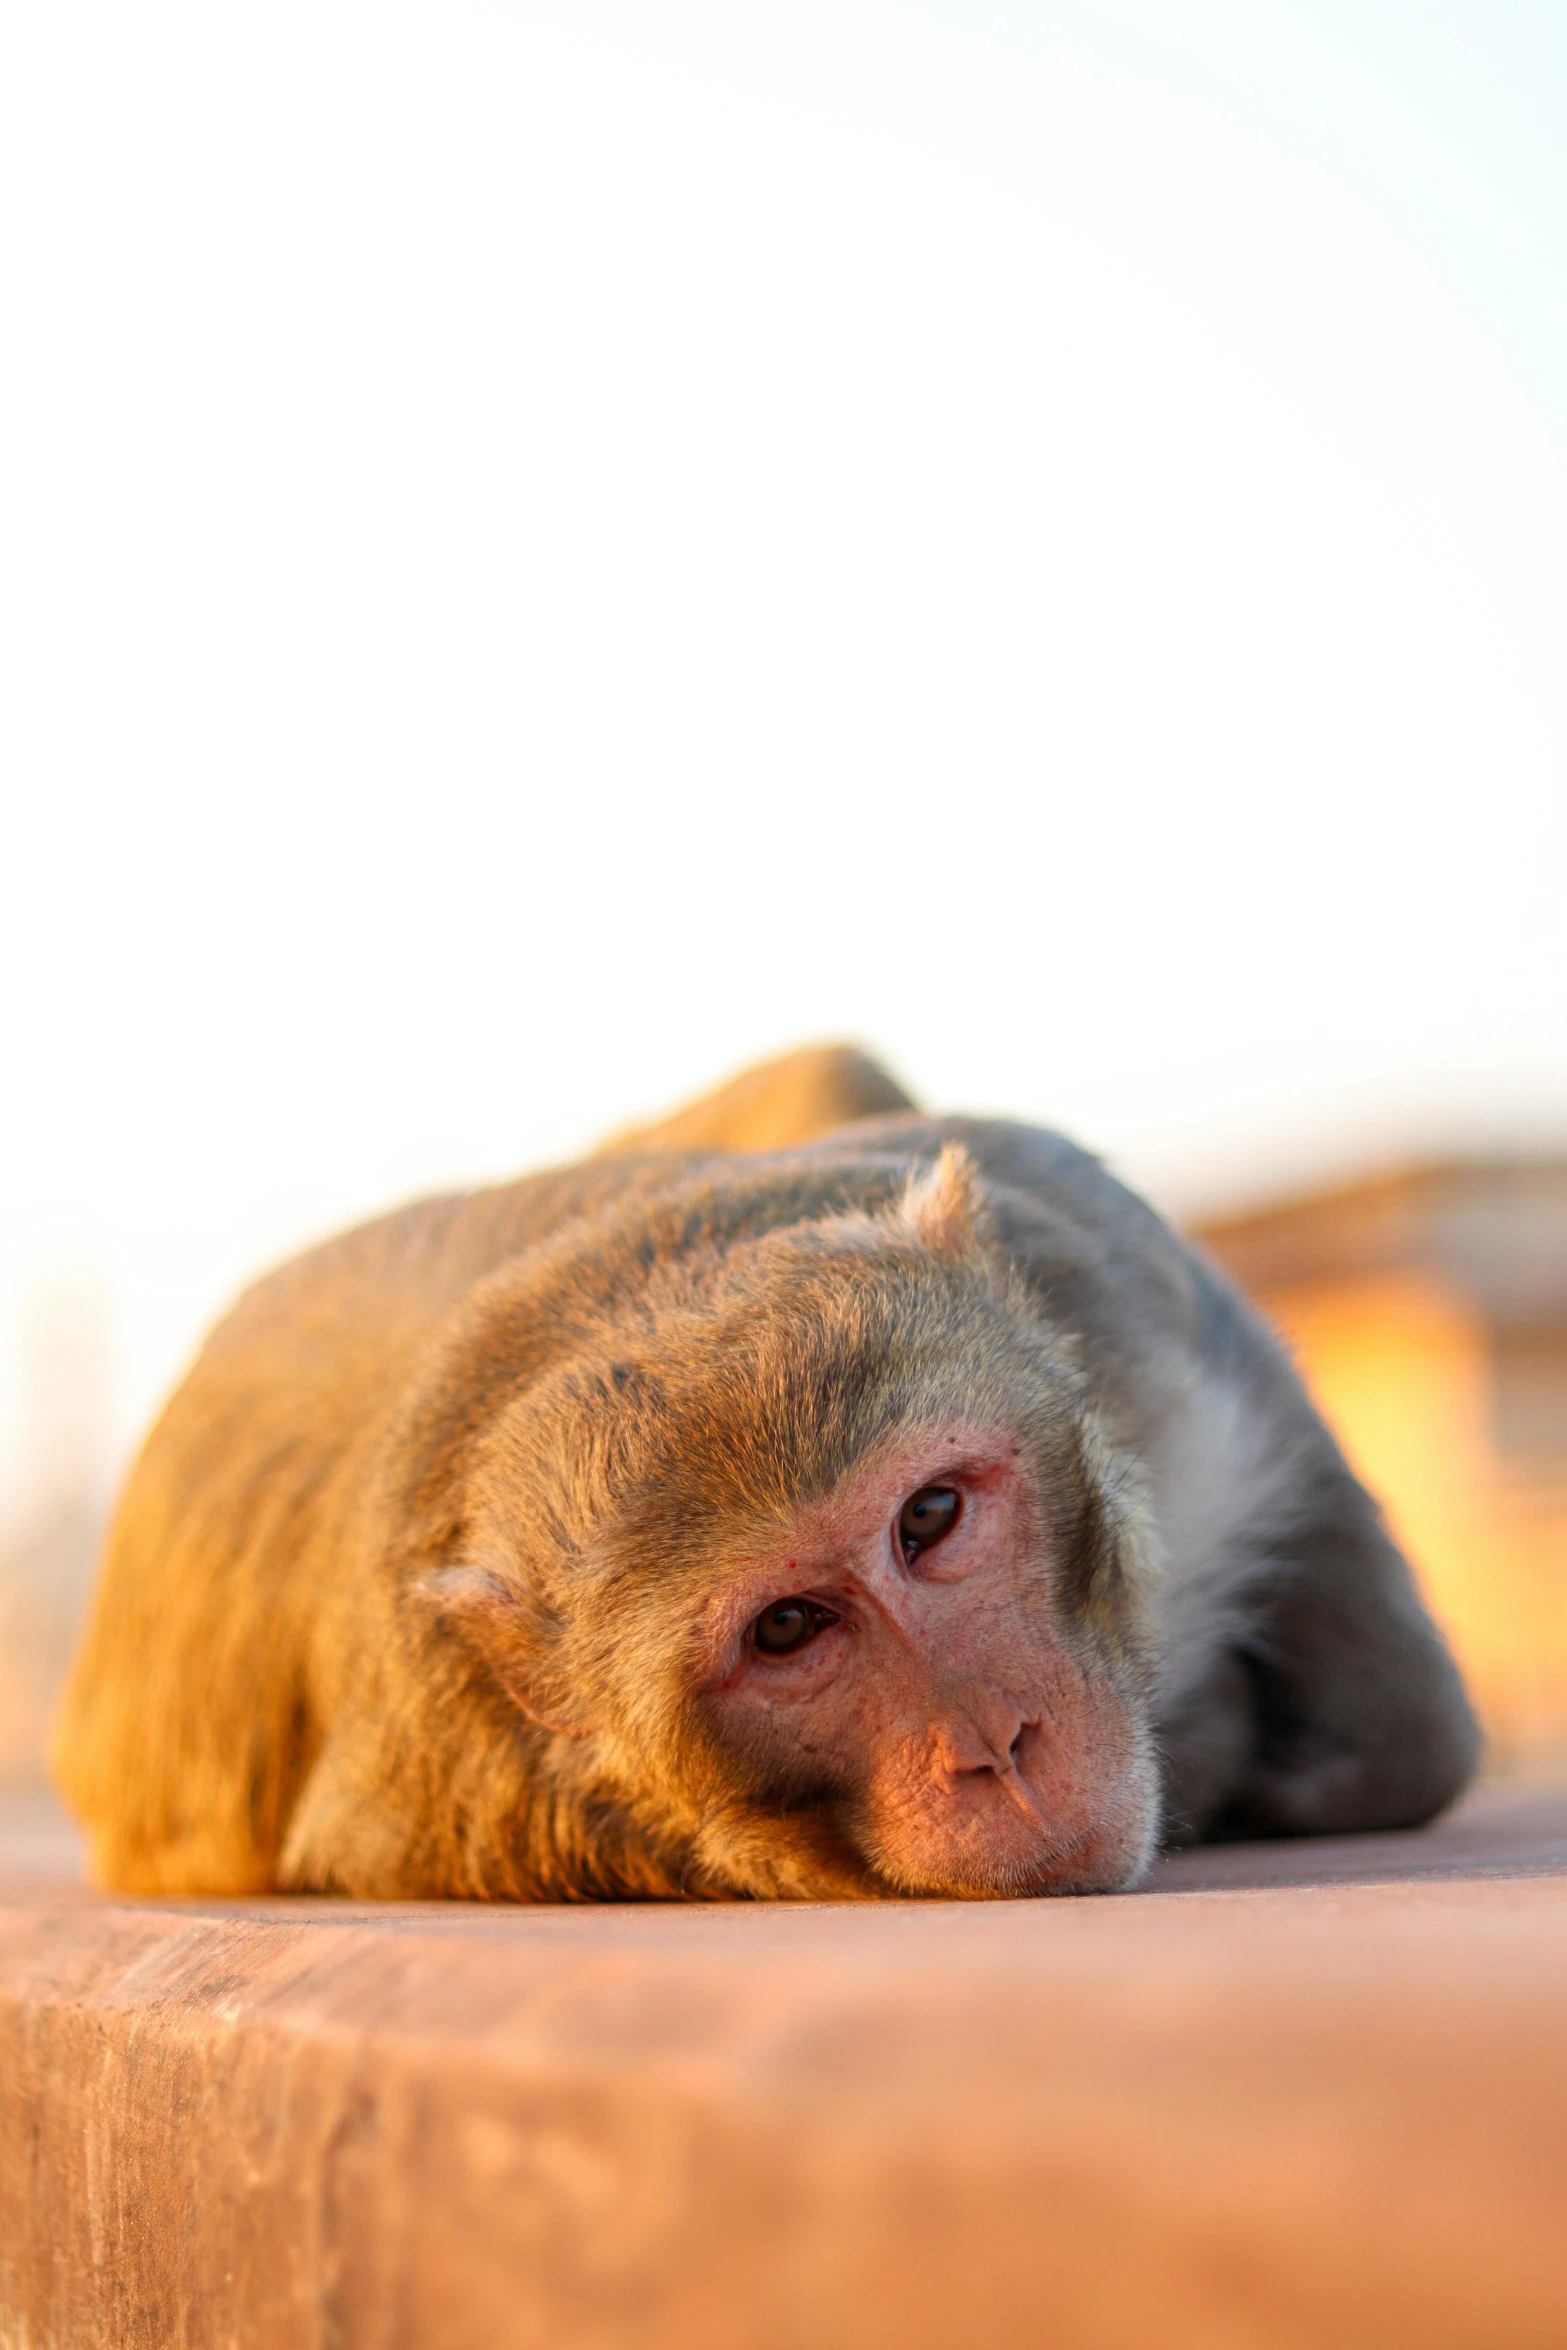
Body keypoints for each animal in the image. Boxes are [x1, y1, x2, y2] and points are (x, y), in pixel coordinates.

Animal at [55, 1057, 1475, 1898]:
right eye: (787, 1627)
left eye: (929, 1517)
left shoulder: (1126, 1281)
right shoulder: (473, 1806)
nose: (994, 1746)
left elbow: (1413, 1722)